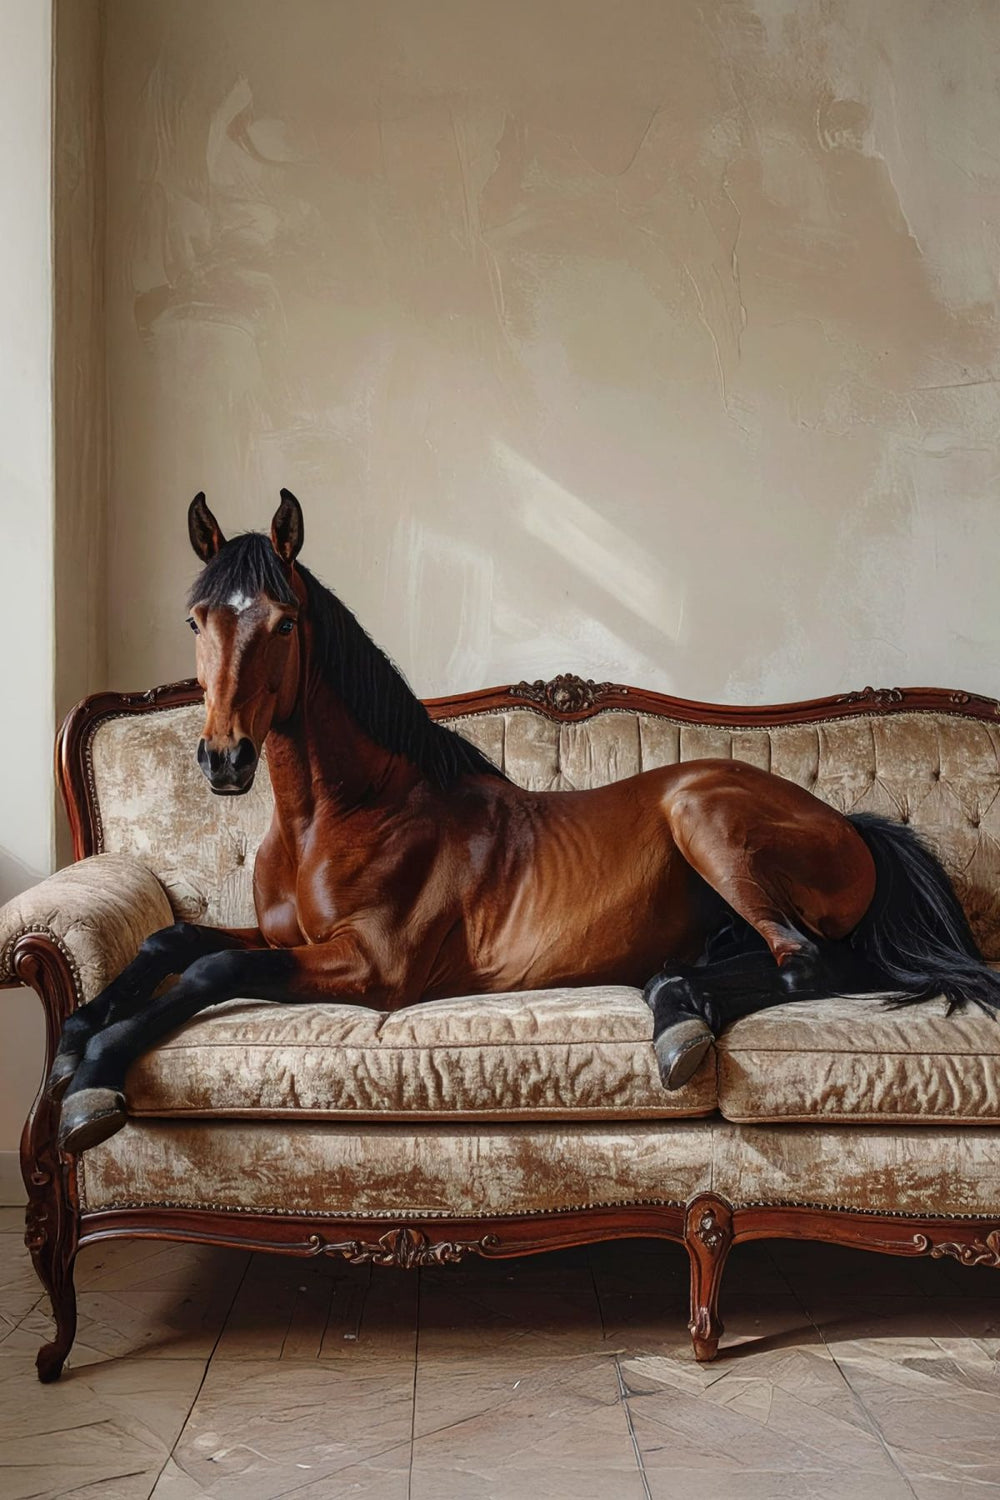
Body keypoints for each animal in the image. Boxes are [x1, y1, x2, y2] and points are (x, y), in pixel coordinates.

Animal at [51, 490, 1000, 1154]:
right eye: (196, 618)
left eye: (283, 622)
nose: (224, 760)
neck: (343, 816)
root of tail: (852, 824)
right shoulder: (287, 935)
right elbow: (172, 939)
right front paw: (73, 1037)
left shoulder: (371, 968)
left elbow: (211, 968)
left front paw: (94, 1076)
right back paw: (676, 1004)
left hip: (707, 818)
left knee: (806, 962)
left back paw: (681, 1018)